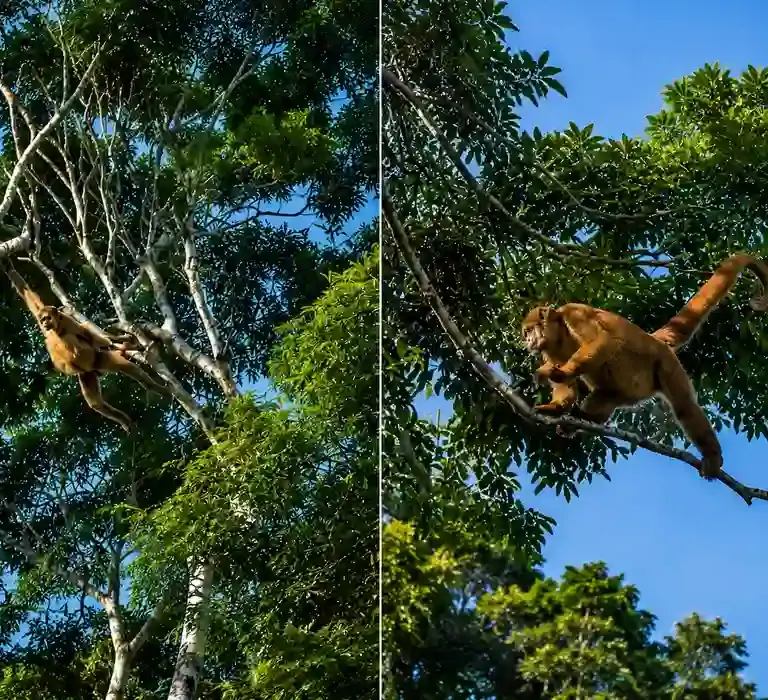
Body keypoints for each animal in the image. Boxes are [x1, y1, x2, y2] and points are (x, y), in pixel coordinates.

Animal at [2, 262, 171, 432]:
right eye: (43, 319)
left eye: (47, 318)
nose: (45, 323)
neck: (57, 327)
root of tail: (92, 367)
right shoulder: (46, 323)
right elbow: (30, 296)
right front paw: (8, 266)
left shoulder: (67, 321)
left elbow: (87, 334)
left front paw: (121, 341)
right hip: (87, 373)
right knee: (95, 402)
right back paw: (122, 419)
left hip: (98, 359)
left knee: (123, 364)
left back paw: (154, 386)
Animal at [521, 253, 768, 480]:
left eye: (529, 330)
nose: (528, 341)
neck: (559, 333)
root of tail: (653, 339)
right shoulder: (550, 347)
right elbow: (565, 384)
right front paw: (556, 407)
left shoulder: (574, 313)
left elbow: (603, 341)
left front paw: (565, 371)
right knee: (603, 396)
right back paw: (583, 419)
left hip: (664, 363)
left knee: (684, 406)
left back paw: (712, 454)